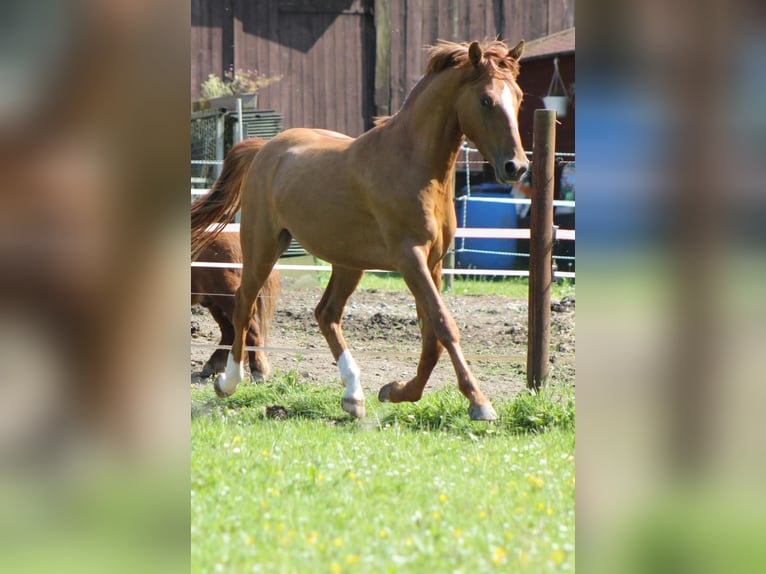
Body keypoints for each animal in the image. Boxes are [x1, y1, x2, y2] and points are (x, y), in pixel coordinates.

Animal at [191, 38, 528, 420]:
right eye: (486, 99)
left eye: (518, 97)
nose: (516, 167)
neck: (413, 165)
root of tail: (266, 148)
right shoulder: (409, 257)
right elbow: (444, 324)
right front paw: (479, 402)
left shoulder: (433, 262)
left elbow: (431, 337)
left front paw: (397, 391)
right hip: (263, 245)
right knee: (244, 306)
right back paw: (228, 382)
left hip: (348, 262)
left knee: (326, 314)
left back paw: (353, 396)